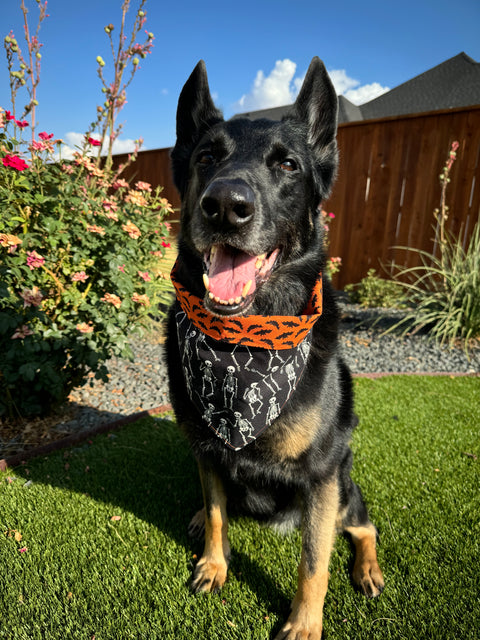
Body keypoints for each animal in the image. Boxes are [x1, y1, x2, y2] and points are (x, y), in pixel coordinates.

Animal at [167, 57, 384, 636]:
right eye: (205, 156)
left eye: (287, 165)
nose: (224, 206)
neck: (244, 344)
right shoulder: (207, 452)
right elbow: (217, 512)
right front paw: (214, 565)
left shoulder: (322, 475)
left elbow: (314, 561)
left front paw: (305, 623)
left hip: (344, 487)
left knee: (363, 526)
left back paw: (368, 569)